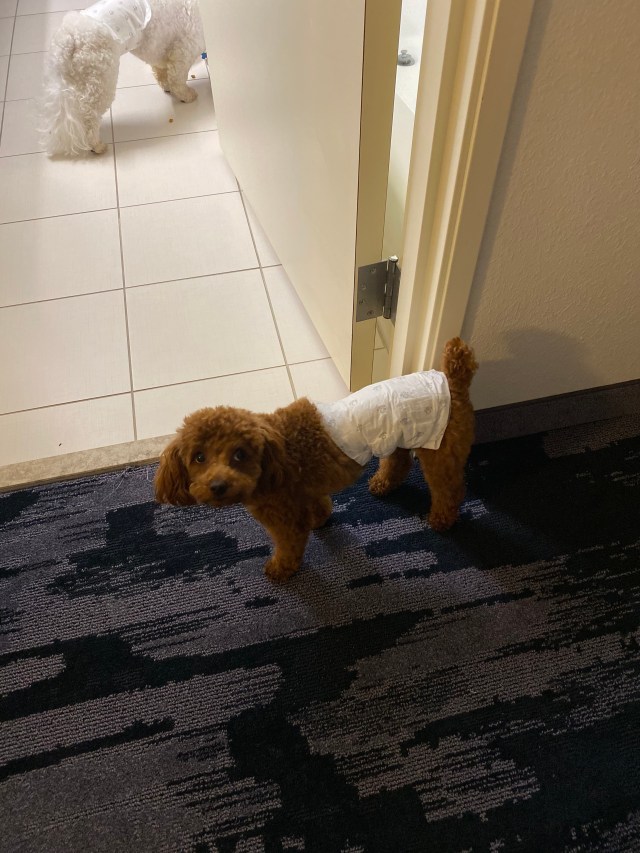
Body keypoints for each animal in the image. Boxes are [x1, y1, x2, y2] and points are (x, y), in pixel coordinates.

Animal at [41, 0, 205, 156]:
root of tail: (70, 36)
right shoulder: (185, 48)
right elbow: (177, 79)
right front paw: (187, 95)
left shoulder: (158, 48)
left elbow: (162, 70)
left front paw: (166, 84)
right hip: (101, 80)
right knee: (89, 117)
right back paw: (96, 146)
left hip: (79, 79)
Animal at [155, 338, 478, 582]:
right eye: (198, 457)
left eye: (240, 454)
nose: (218, 486)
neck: (276, 459)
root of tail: (451, 379)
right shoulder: (306, 493)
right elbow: (319, 507)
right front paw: (319, 520)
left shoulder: (284, 517)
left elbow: (290, 545)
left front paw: (280, 569)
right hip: (399, 438)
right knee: (399, 463)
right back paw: (383, 484)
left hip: (440, 450)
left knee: (450, 489)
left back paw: (441, 519)